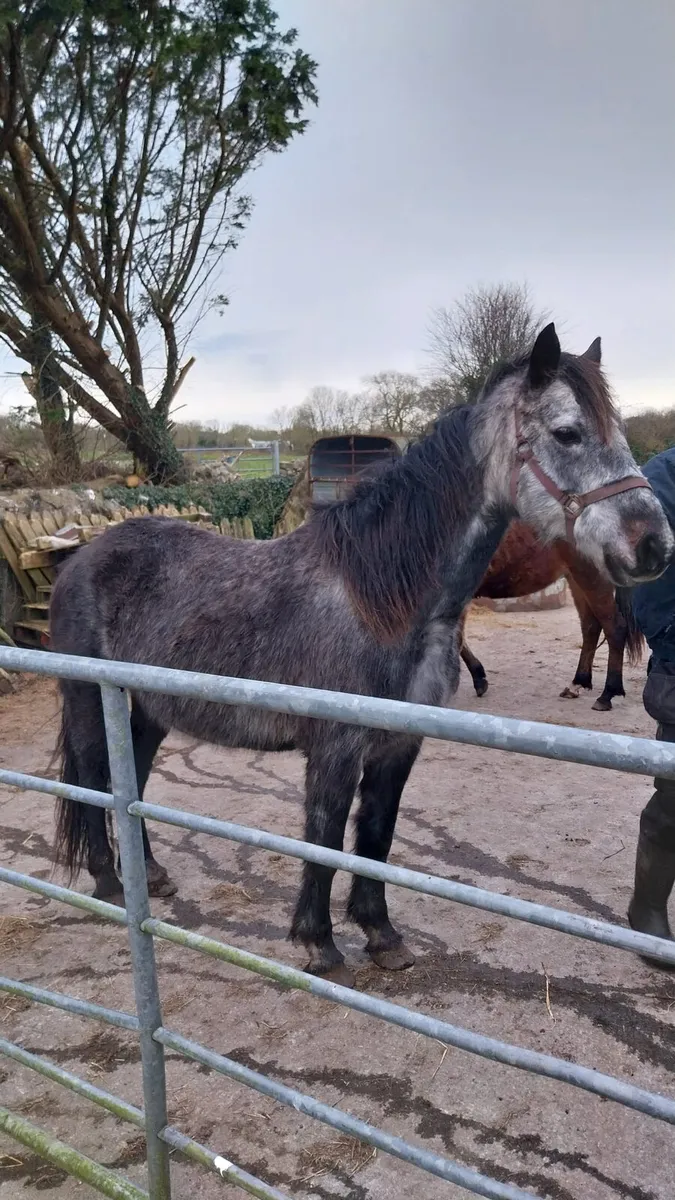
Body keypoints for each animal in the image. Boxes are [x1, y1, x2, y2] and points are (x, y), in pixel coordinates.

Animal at [458, 522, 645, 711]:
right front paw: (478, 678)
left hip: (592, 578)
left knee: (615, 628)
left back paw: (608, 694)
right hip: (576, 578)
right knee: (591, 626)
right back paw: (578, 682)